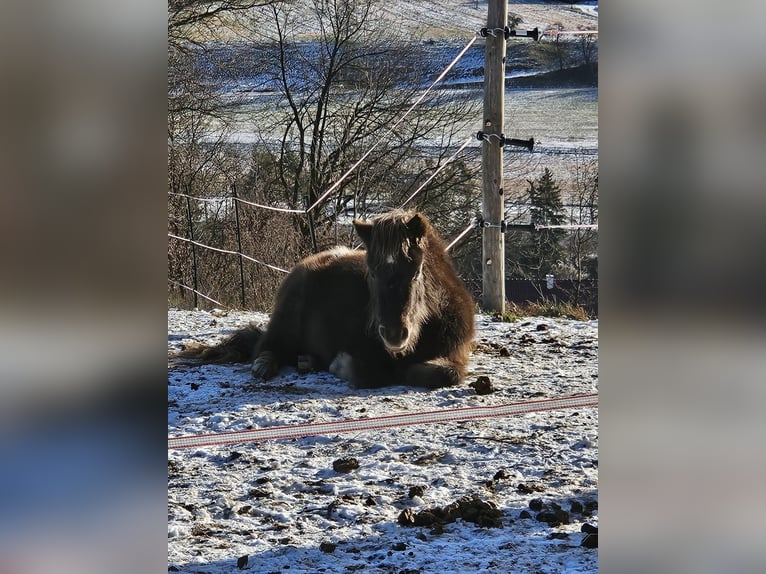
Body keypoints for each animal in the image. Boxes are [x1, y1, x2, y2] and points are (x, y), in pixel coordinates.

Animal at [178, 209, 475, 389]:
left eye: (415, 271)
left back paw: (307, 361)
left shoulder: (457, 353)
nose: (393, 334)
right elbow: (375, 373)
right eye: (372, 273)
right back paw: (265, 366)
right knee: (266, 348)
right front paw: (341, 365)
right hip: (284, 320)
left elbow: (448, 373)